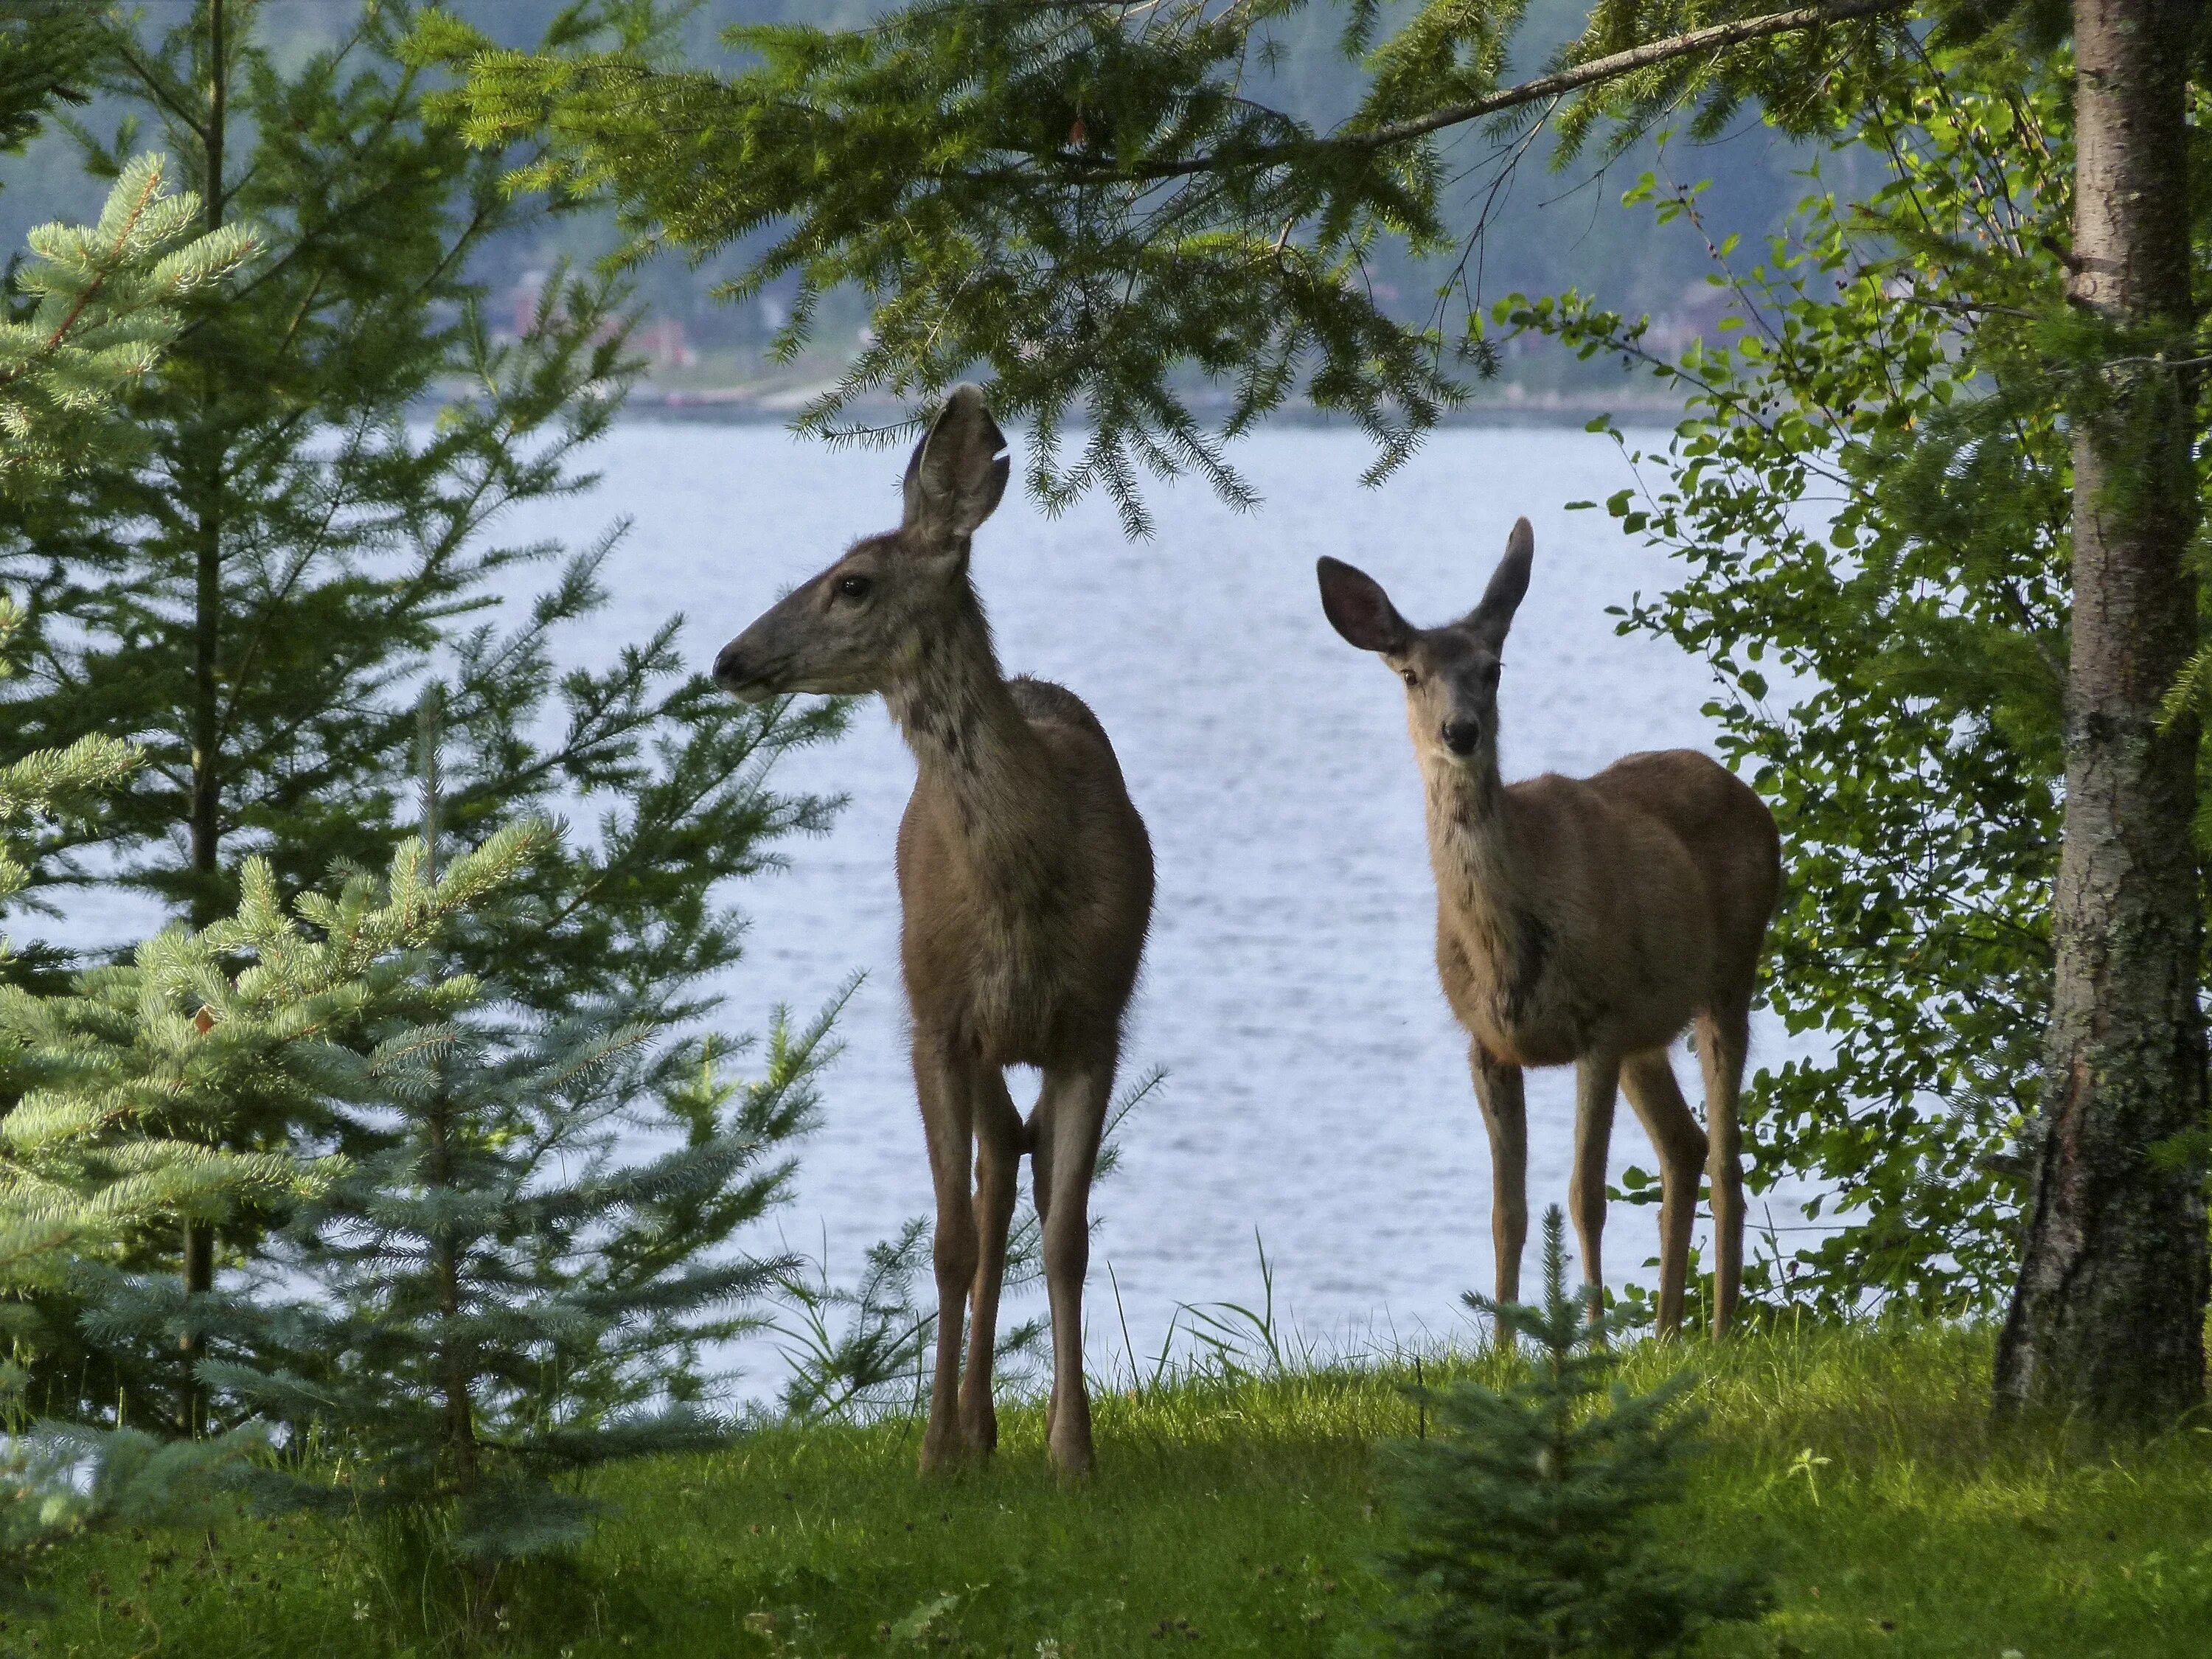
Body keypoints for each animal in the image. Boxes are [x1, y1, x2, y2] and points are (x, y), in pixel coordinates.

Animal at [712, 383, 1159, 1478]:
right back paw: (972, 1426)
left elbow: (1069, 1237)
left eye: (852, 583)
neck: (1021, 888)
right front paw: (934, 1453)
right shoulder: (936, 1020)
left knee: (1013, 1166)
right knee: (993, 1172)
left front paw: (1074, 1454)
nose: (729, 659)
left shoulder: (1096, 1024)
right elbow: (948, 1238)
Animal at [1310, 526, 1778, 1345]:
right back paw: (1665, 1334)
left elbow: (1586, 1196)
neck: (1507, 951)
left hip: (1726, 978)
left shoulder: (1598, 1022)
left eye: (1492, 670)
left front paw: (1587, 1340)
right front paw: (1502, 1350)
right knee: (1683, 1148)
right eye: (1410, 674)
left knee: (1726, 1160)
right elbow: (1509, 1212)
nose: (1460, 731)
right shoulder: (1488, 1043)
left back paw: (1718, 1330)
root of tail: (1749, 796)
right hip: (1648, 1028)